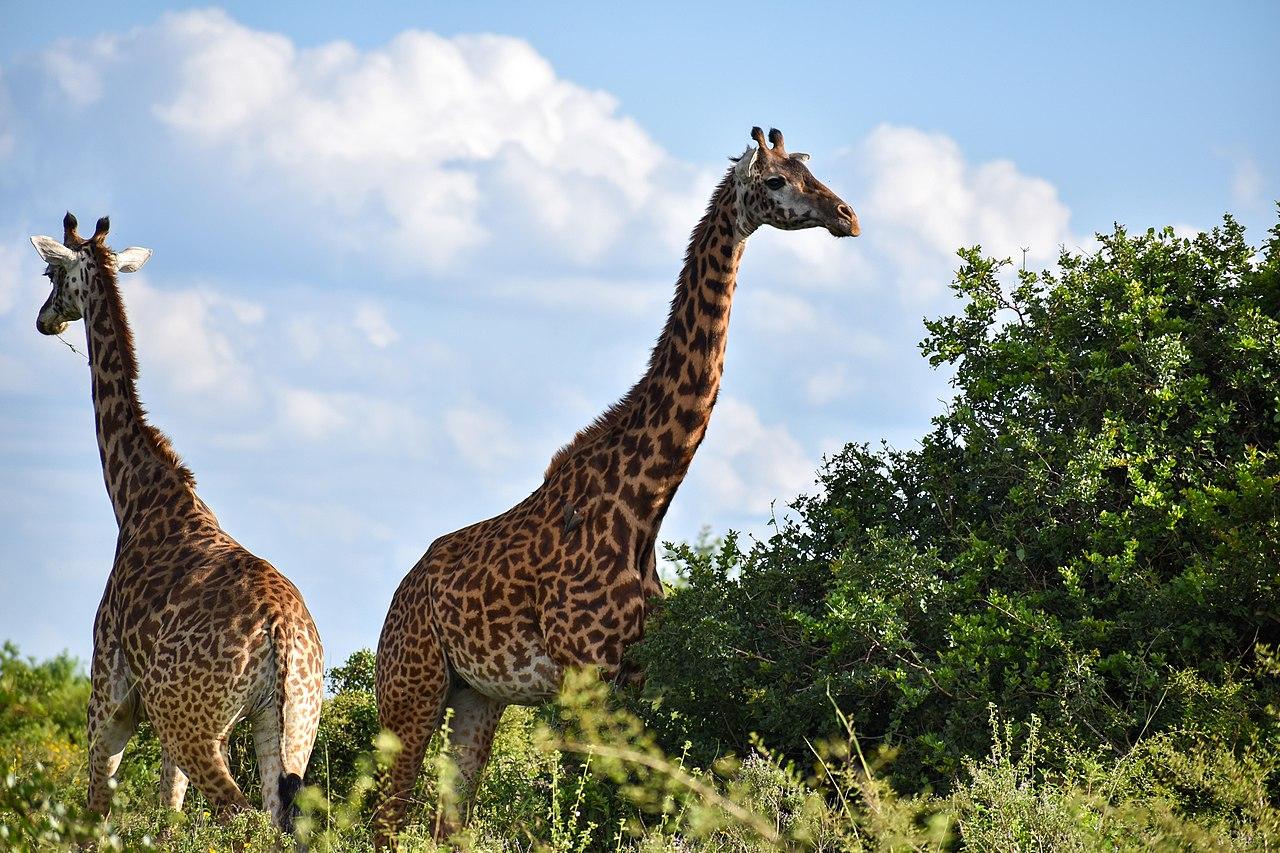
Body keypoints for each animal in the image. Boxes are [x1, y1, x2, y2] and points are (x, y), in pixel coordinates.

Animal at [31, 212, 325, 829]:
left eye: (50, 272)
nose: (44, 319)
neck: (135, 498)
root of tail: (282, 636)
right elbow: (168, 810)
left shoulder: (108, 692)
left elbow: (96, 810)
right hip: (289, 726)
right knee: (276, 815)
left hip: (195, 722)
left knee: (239, 811)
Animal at [373, 126, 860, 845]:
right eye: (775, 181)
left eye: (809, 170)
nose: (847, 216)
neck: (644, 503)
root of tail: (400, 593)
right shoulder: (583, 673)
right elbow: (584, 805)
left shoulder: (633, 674)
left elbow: (628, 802)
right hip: (410, 685)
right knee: (384, 816)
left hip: (477, 694)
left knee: (445, 820)